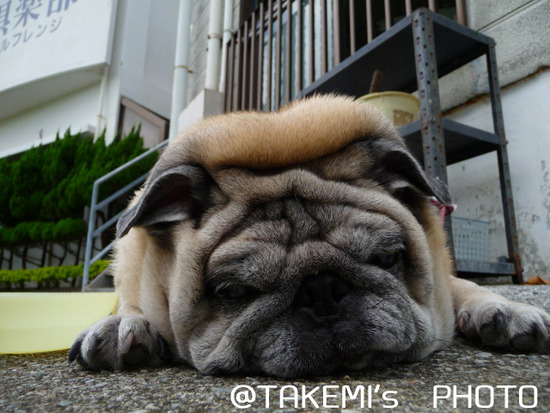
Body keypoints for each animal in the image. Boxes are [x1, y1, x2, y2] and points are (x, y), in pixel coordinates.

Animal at [70, 94, 550, 376]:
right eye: (233, 292)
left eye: (386, 258)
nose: (322, 290)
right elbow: (132, 303)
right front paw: (127, 323)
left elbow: (462, 285)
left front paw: (503, 308)